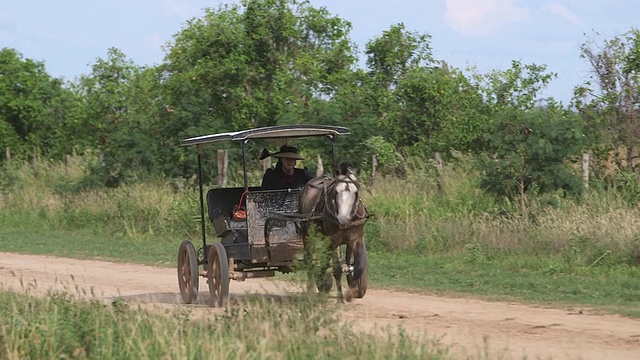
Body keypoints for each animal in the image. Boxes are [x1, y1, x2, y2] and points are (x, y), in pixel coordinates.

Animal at [296, 165, 368, 302]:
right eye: (336, 192)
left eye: (355, 192)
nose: (343, 218)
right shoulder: (333, 240)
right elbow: (336, 269)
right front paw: (339, 297)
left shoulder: (357, 239)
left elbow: (359, 266)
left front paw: (352, 292)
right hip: (308, 236)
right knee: (310, 260)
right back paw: (311, 290)